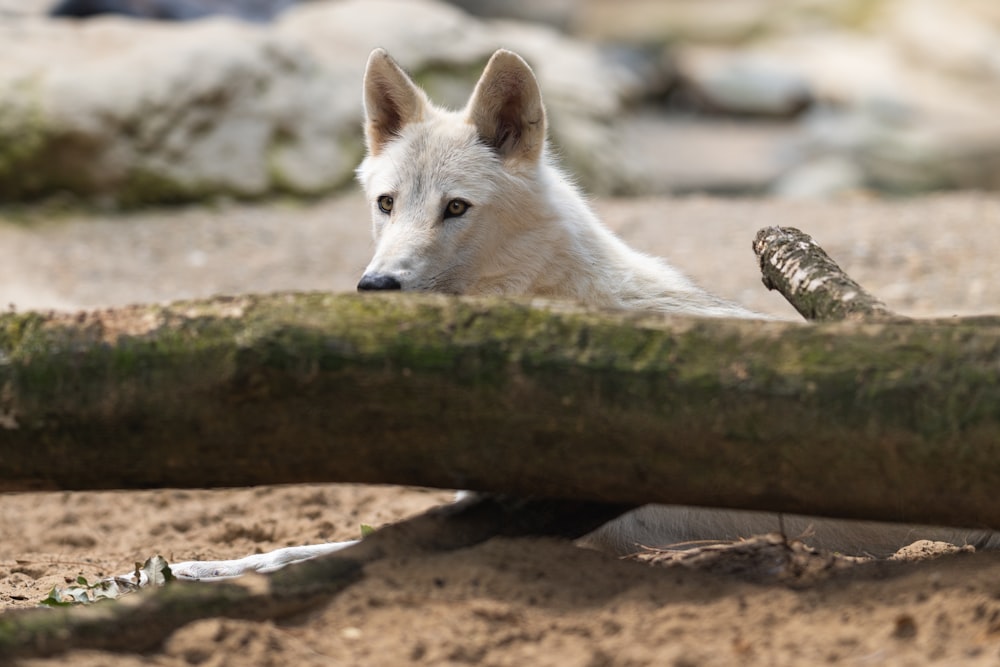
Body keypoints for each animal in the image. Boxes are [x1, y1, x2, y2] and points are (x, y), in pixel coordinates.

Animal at [164, 48, 992, 580]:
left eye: (456, 208)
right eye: (387, 204)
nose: (377, 285)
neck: (543, 303)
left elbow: (310, 551)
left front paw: (185, 570)